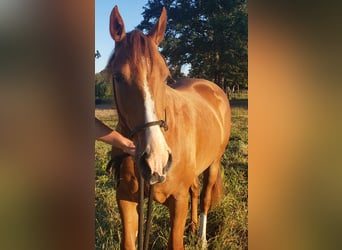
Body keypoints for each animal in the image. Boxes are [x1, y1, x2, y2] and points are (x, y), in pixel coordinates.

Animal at [107, 5, 231, 250]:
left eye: (166, 77)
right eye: (118, 76)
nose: (156, 160)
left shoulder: (178, 200)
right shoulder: (125, 200)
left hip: (214, 163)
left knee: (204, 198)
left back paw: (201, 238)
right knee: (196, 190)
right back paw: (192, 227)